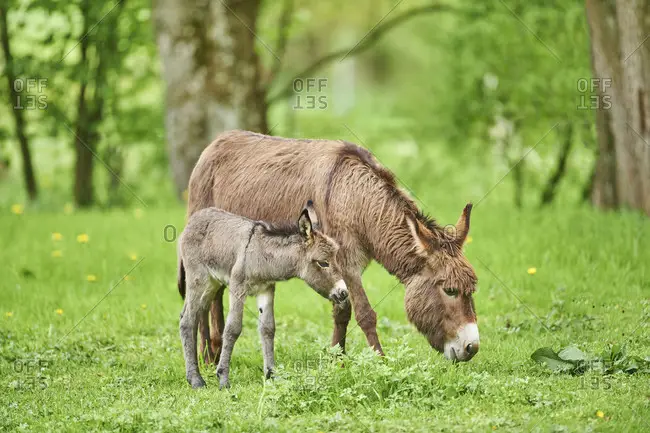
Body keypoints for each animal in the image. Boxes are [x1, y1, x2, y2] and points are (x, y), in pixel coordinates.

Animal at [175, 201, 346, 386]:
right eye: (323, 263)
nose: (343, 293)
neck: (261, 254)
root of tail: (195, 218)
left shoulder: (266, 289)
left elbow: (268, 328)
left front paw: (271, 375)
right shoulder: (237, 287)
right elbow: (232, 329)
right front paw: (223, 379)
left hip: (212, 284)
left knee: (189, 315)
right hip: (198, 279)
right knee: (188, 320)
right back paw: (196, 380)